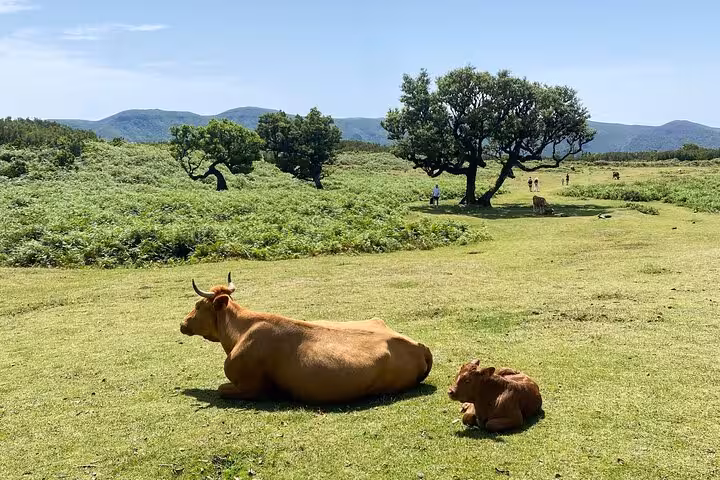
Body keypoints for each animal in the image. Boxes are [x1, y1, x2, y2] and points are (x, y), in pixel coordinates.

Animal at [180, 273, 434, 404]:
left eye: (198, 305)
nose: (182, 323)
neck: (241, 330)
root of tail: (419, 346)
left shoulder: (251, 386)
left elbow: (222, 388)